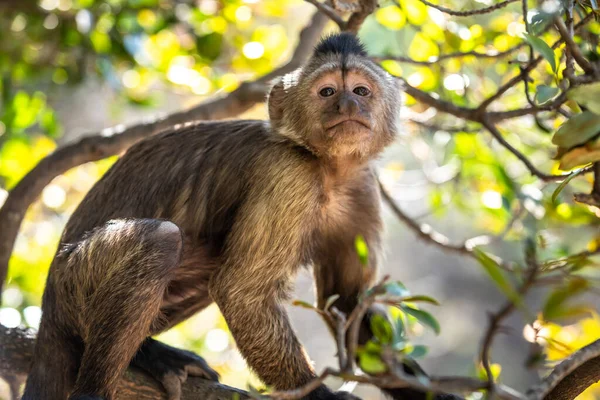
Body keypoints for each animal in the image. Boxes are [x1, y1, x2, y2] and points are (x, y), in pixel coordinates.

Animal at [21, 32, 458, 400]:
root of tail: (47, 303)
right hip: (72, 285)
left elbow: (350, 306)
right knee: (163, 241)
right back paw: (95, 388)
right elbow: (241, 292)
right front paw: (319, 395)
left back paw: (149, 354)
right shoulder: (288, 173)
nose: (349, 106)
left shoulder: (364, 188)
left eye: (362, 91)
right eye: (328, 92)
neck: (329, 170)